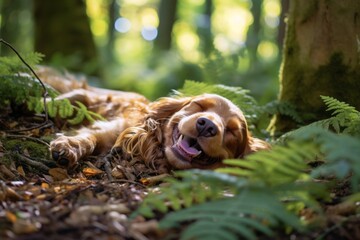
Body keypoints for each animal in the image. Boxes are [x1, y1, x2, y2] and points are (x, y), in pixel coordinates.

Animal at [39, 68, 270, 173]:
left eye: (231, 131)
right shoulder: (116, 128)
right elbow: (90, 137)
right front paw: (69, 145)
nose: (207, 126)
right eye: (200, 106)